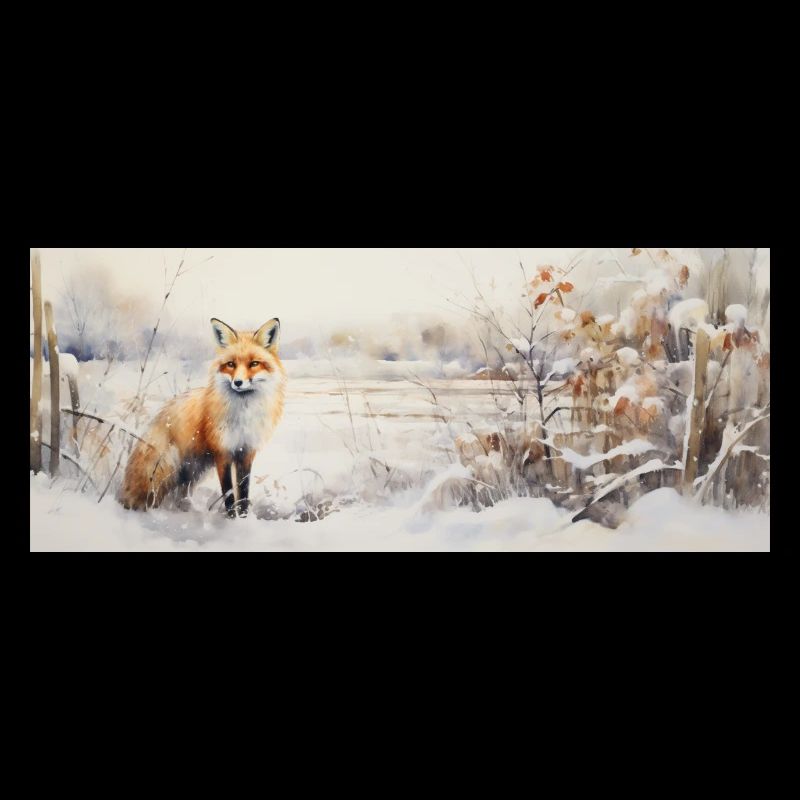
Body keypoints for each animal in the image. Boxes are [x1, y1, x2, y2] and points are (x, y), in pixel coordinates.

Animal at [119, 317, 287, 517]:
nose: (238, 382)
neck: (243, 415)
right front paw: (232, 519)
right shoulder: (222, 452)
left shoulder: (246, 452)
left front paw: (244, 518)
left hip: (194, 470)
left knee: (180, 493)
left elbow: (243, 492)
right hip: (169, 465)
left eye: (254, 363)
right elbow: (229, 494)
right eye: (231, 364)